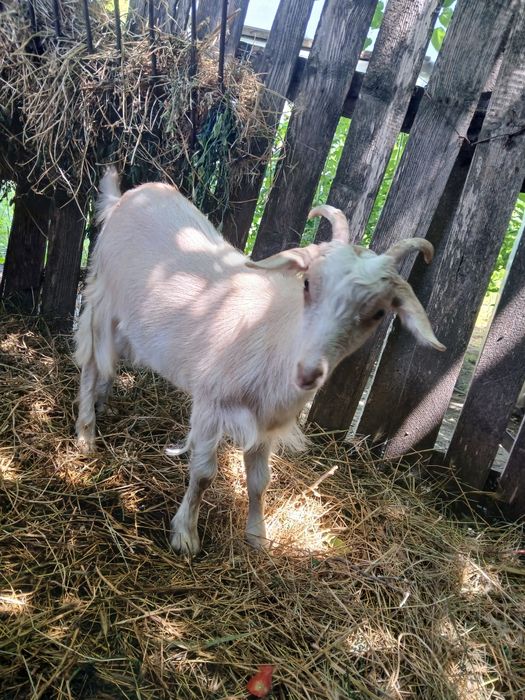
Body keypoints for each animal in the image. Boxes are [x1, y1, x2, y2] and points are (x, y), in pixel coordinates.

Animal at [75, 169, 444, 555]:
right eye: (307, 283)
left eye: (378, 313)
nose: (308, 372)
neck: (274, 334)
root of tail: (123, 198)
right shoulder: (211, 404)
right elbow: (203, 474)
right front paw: (185, 535)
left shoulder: (265, 423)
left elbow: (259, 481)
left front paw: (258, 536)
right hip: (103, 299)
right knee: (91, 362)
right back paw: (86, 434)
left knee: (109, 362)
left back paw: (102, 403)